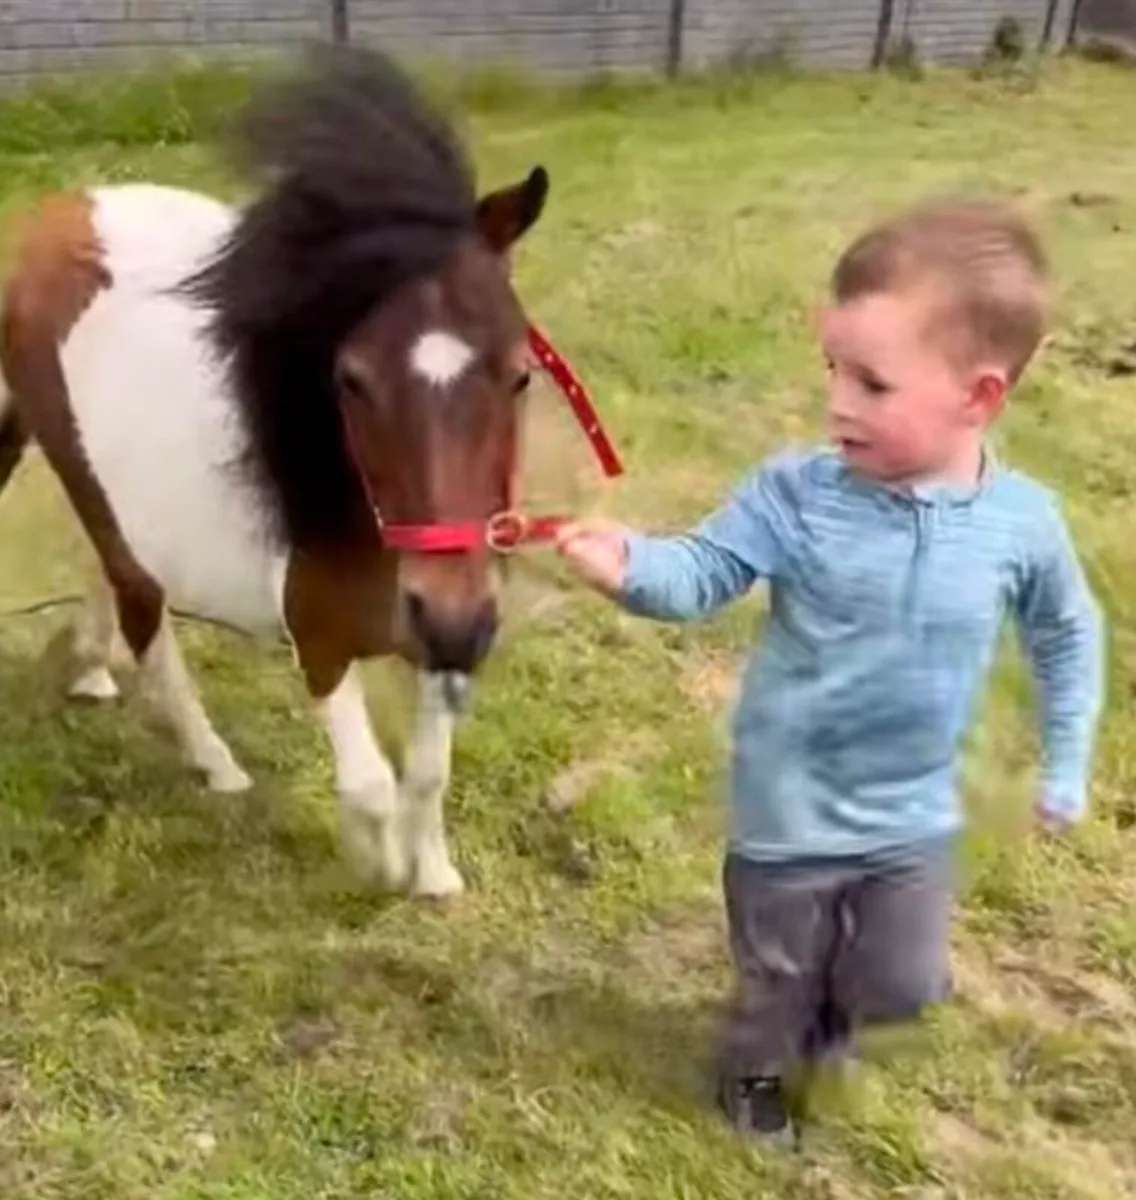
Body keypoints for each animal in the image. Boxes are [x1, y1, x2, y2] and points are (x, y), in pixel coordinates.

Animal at [0, 44, 618, 900]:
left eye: (520, 374)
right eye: (350, 379)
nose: (452, 616)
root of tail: (62, 211)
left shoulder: (445, 638)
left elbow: (428, 772)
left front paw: (433, 877)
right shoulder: (321, 641)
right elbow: (372, 785)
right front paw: (380, 867)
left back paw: (94, 670)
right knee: (146, 619)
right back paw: (215, 763)